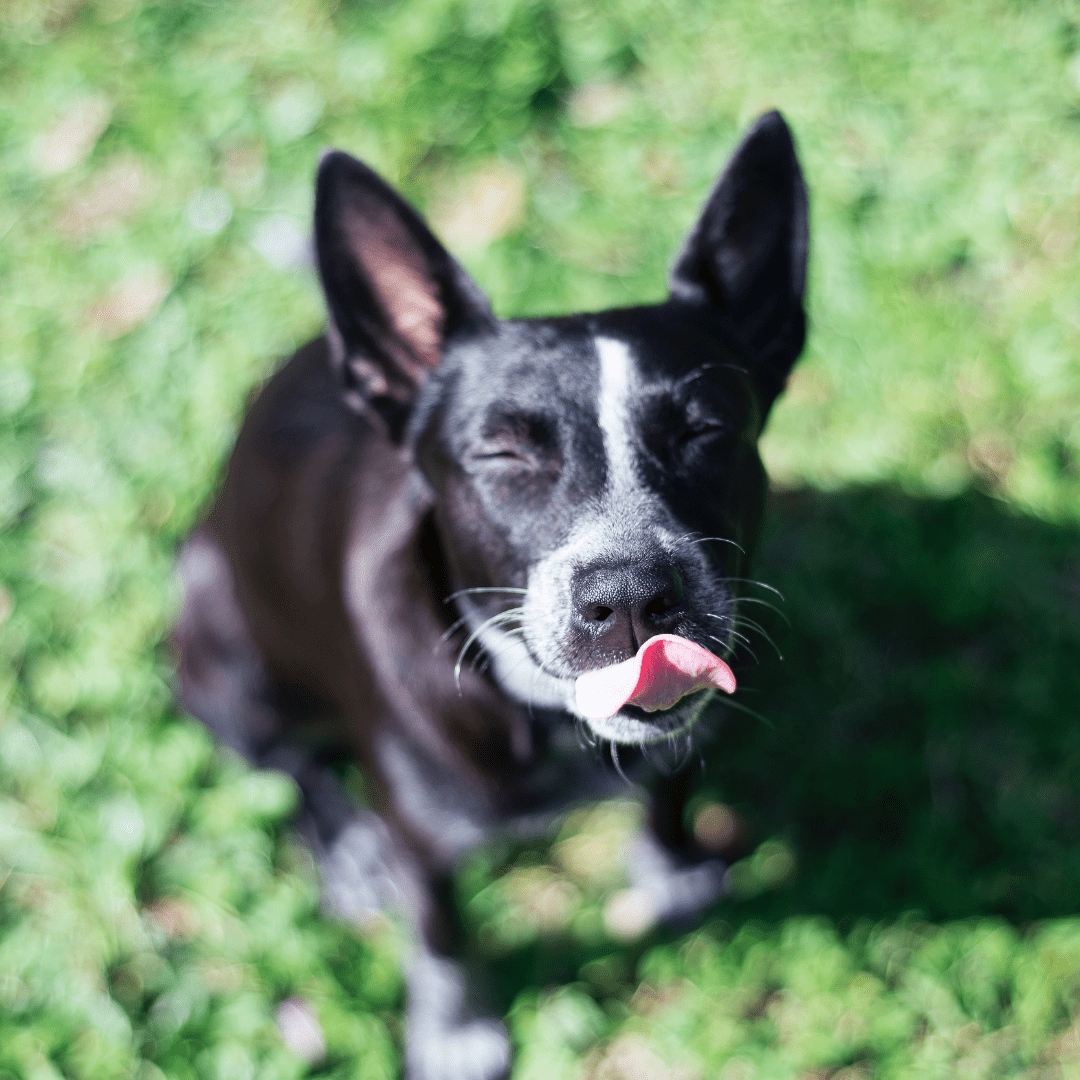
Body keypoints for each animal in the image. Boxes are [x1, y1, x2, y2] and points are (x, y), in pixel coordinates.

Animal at [172, 111, 807, 1080]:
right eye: (503, 453)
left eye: (706, 431)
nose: (632, 594)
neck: (541, 715)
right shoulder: (421, 836)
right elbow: (439, 931)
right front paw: (457, 1031)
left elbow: (667, 788)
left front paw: (673, 872)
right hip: (219, 640)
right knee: (286, 759)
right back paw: (346, 850)